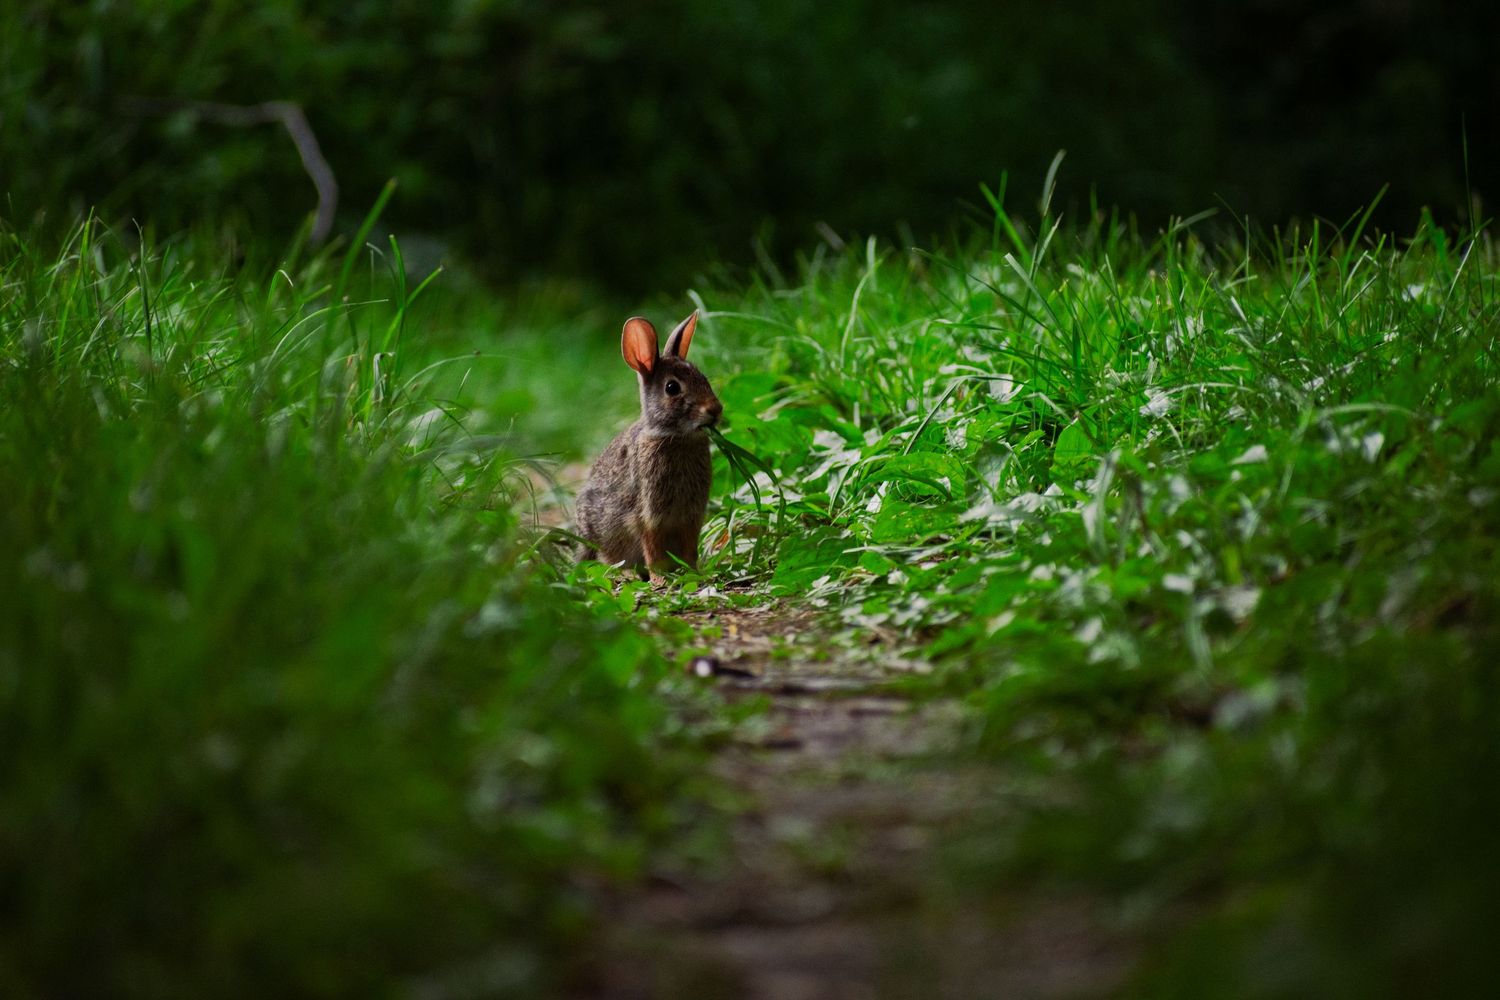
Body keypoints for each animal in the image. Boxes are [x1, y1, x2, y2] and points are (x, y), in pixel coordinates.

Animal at [575, 310, 723, 582]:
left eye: (704, 379)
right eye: (672, 388)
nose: (715, 410)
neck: (673, 436)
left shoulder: (690, 516)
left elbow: (689, 548)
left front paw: (693, 573)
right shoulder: (647, 516)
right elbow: (652, 549)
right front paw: (659, 579)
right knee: (610, 561)